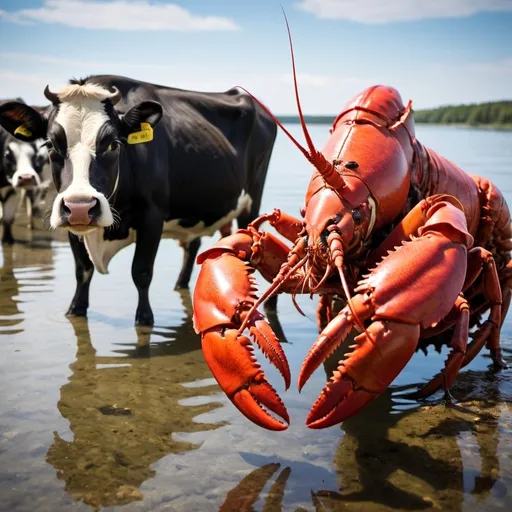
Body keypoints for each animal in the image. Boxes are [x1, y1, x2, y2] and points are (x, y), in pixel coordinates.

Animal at [0, 101, 50, 245]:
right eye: (7, 155)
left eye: (38, 156)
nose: (26, 178)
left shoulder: (12, 189)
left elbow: (8, 219)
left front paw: (8, 240)